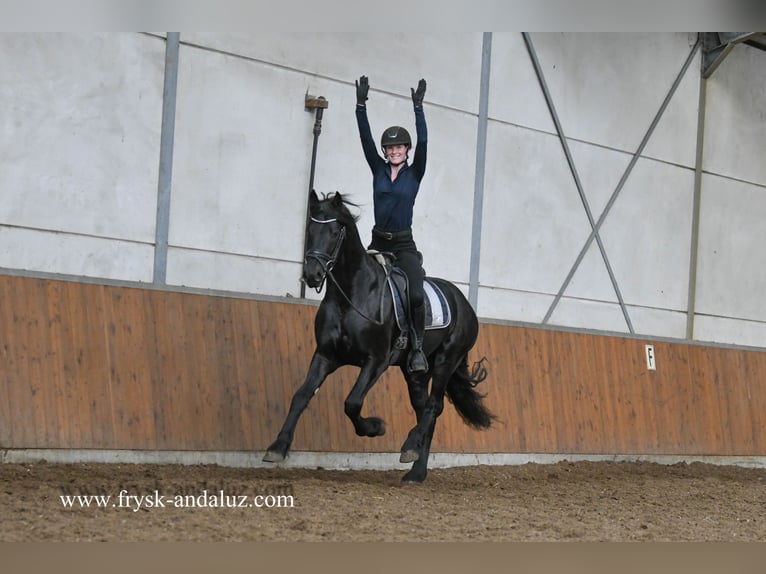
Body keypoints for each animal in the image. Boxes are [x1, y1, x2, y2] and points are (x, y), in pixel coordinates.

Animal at [263, 190, 493, 482]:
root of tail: (463, 302)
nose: (312, 275)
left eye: (335, 231)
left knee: (433, 406)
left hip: (446, 360)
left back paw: (409, 449)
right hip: (415, 371)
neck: (351, 294)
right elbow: (301, 396)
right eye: (310, 229)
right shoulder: (325, 355)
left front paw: (375, 427)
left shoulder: (376, 361)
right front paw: (277, 448)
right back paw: (416, 470)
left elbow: (352, 402)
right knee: (424, 409)